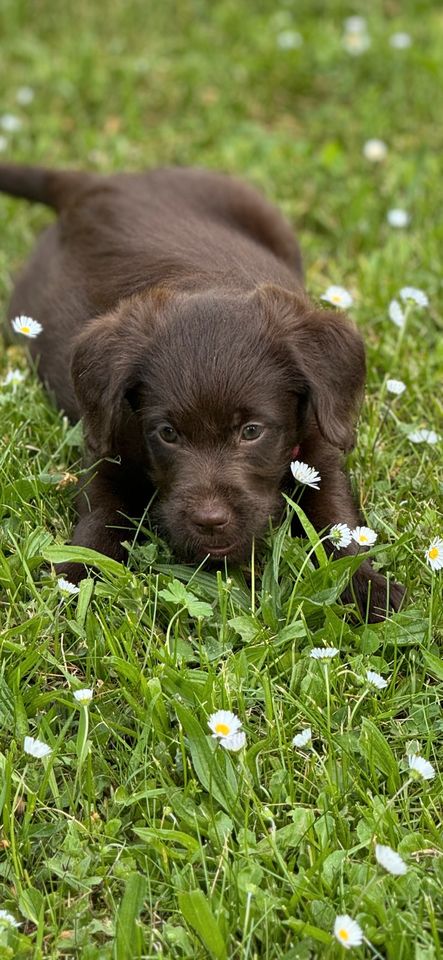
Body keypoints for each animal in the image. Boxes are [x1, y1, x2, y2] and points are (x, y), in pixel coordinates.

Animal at [0, 162, 402, 620]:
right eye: (167, 434)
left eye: (251, 431)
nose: (210, 521)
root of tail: (98, 185)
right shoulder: (109, 446)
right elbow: (101, 517)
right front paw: (74, 577)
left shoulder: (319, 447)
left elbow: (337, 522)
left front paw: (367, 586)